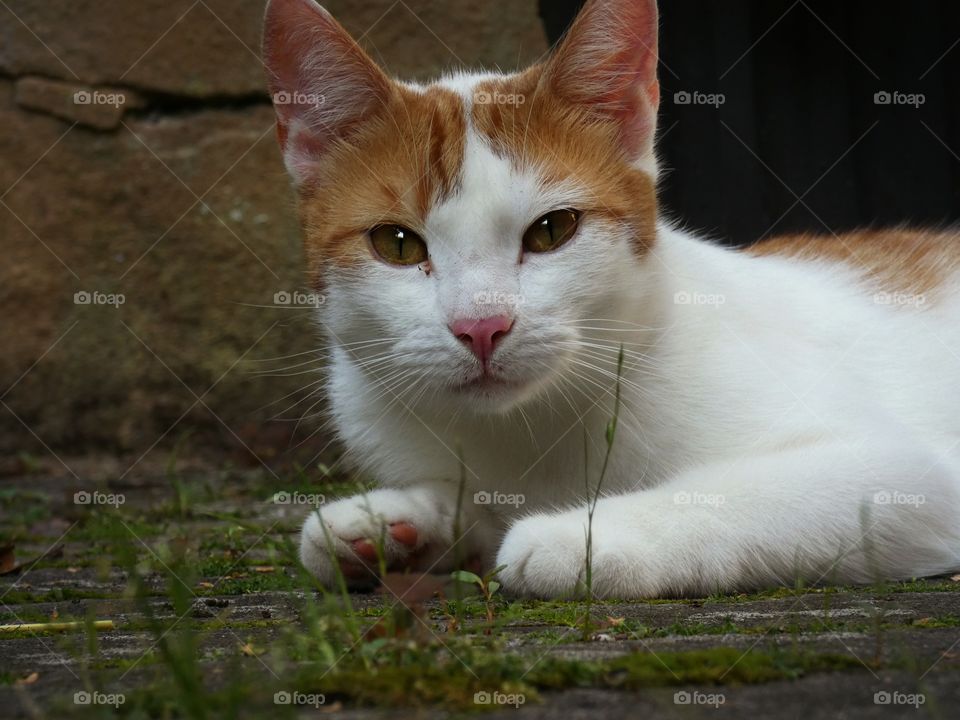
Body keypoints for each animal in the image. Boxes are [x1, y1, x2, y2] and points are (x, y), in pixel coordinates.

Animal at [260, 0, 960, 600]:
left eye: (552, 231)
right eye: (397, 244)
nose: (482, 326)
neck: (528, 429)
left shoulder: (912, 475)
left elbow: (741, 494)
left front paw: (581, 534)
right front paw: (395, 523)